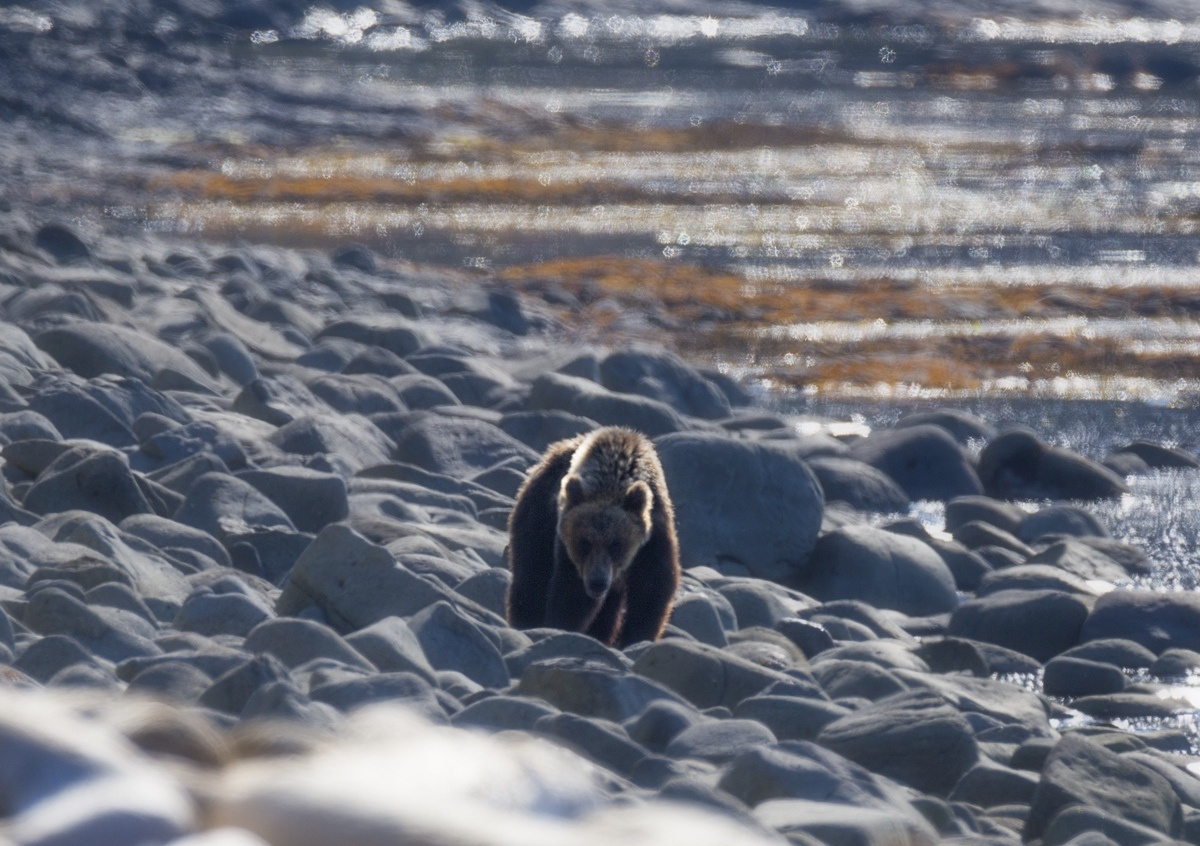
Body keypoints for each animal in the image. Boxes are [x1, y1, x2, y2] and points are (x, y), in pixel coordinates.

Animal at [501, 429, 681, 648]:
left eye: (616, 544)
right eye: (584, 542)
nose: (598, 582)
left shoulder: (654, 539)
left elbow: (651, 592)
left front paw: (636, 638)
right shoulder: (566, 547)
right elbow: (571, 592)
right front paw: (559, 626)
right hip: (537, 516)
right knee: (530, 576)